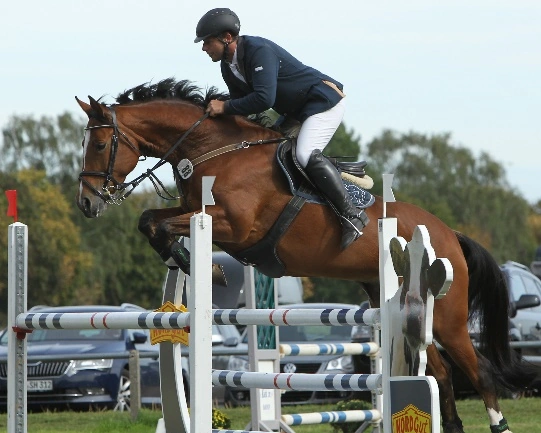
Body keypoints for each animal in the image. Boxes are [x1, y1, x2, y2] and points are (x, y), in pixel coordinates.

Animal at [75, 78, 532, 432]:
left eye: (98, 143)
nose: (87, 203)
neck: (213, 151)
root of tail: (448, 233)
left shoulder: (233, 227)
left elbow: (164, 225)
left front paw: (200, 267)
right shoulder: (197, 214)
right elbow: (150, 220)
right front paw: (184, 260)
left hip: (448, 318)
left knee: (479, 373)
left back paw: (499, 424)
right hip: (404, 309)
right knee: (439, 373)